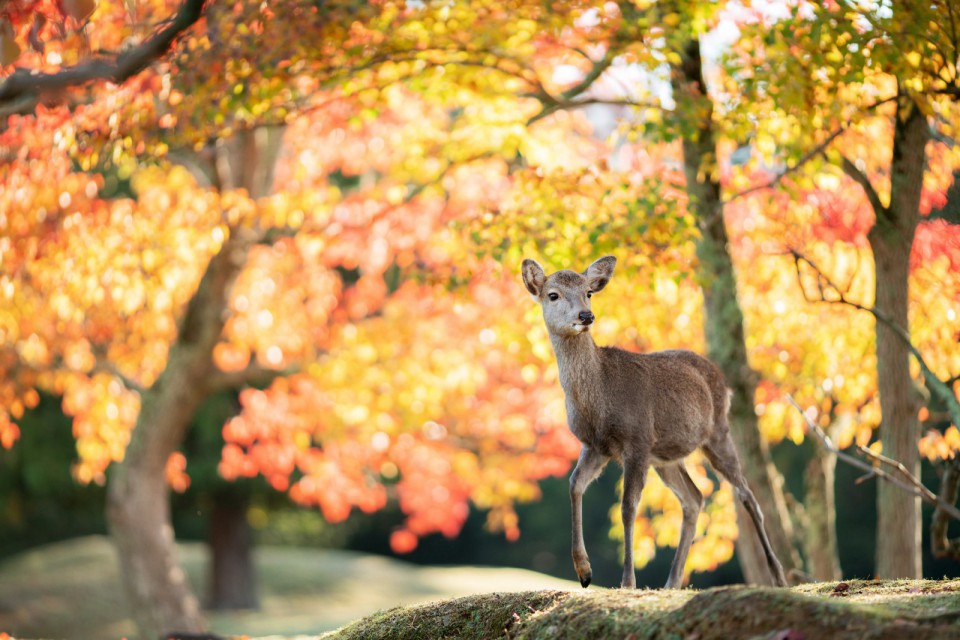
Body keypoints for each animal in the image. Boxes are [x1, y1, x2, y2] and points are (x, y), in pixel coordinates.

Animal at [524, 255, 788, 592]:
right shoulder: (595, 445)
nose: (586, 315)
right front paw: (584, 572)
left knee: (748, 496)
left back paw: (778, 575)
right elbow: (574, 484)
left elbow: (628, 507)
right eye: (553, 294)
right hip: (665, 457)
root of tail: (722, 379)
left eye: (589, 292)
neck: (599, 400)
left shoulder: (636, 439)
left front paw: (627, 582)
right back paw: (672, 582)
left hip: (717, 432)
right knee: (694, 498)